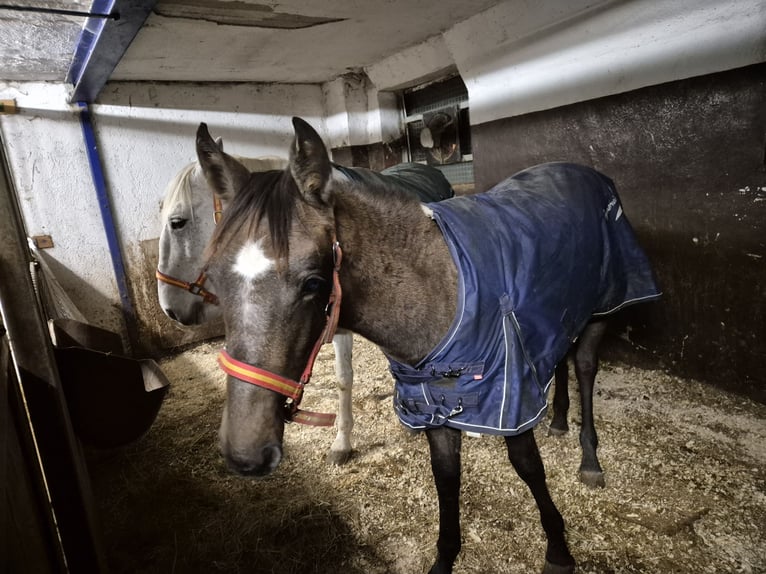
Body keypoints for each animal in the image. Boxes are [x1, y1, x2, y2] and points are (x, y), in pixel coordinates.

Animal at [196, 119, 660, 572]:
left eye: (313, 282)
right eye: (214, 282)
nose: (245, 454)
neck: (444, 287)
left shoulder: (508, 398)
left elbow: (528, 465)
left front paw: (559, 551)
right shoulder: (432, 405)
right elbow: (446, 476)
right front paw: (446, 556)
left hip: (602, 309)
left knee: (584, 366)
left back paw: (589, 459)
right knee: (559, 360)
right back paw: (559, 421)